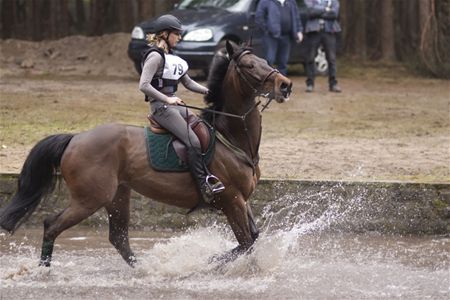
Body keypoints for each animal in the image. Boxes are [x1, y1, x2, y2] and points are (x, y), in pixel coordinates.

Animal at [0, 40, 292, 268]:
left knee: (118, 238)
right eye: (249, 66)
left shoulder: (242, 200)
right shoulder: (231, 200)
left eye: (264, 60)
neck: (231, 138)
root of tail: (75, 138)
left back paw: (144, 270)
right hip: (89, 199)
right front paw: (208, 263)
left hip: (117, 195)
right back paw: (44, 270)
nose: (285, 85)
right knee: (51, 225)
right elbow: (245, 242)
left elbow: (253, 239)